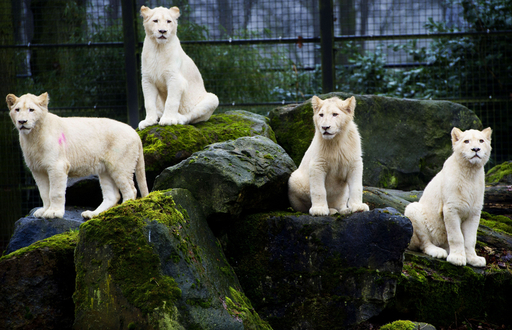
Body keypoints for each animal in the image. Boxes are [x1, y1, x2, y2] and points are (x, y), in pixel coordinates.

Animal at [7, 91, 148, 219]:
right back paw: (93, 214)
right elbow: (44, 193)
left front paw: (54, 213)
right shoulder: (37, 170)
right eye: (17, 110)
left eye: (31, 110)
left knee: (131, 190)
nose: (22, 121)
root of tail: (134, 132)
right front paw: (44, 210)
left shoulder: (57, 165)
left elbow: (55, 192)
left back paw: (120, 210)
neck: (32, 136)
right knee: (113, 196)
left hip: (120, 166)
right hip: (105, 170)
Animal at [404, 126, 492, 268]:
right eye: (466, 141)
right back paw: (438, 251)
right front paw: (457, 258)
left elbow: (470, 239)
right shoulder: (451, 209)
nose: (476, 149)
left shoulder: (474, 212)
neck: (470, 173)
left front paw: (473, 259)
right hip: (413, 209)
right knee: (424, 244)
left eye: (481, 141)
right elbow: (456, 236)